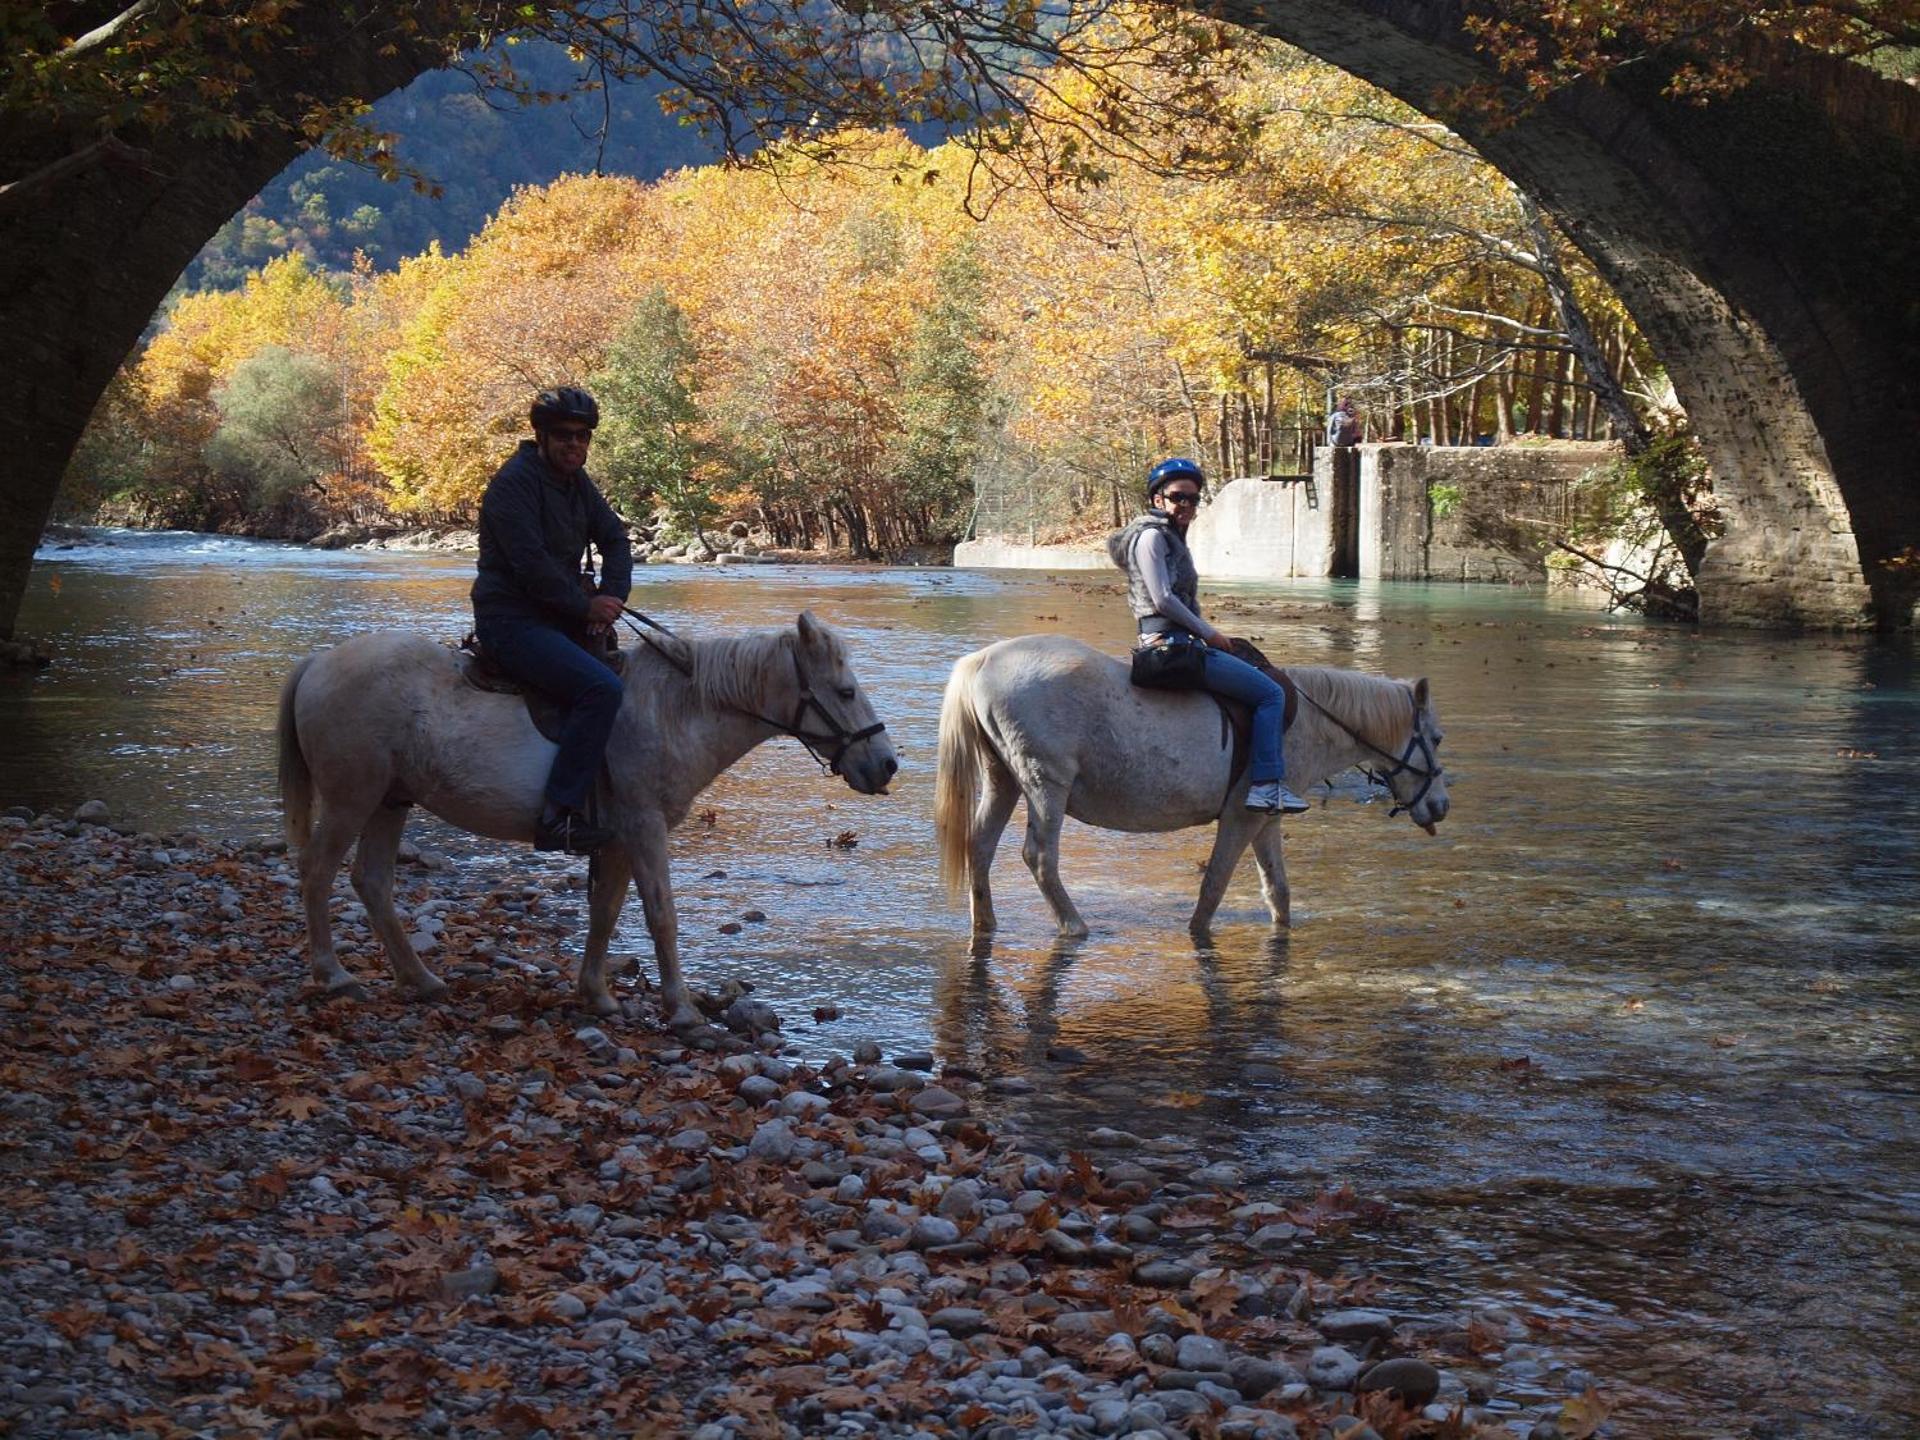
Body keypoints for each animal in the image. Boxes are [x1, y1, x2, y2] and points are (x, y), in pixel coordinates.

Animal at [276, 612, 897, 1029]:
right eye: (845, 691)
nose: (886, 764)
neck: (672, 710)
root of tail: (317, 663)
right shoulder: (645, 828)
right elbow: (661, 916)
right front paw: (682, 1009)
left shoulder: (618, 838)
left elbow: (606, 912)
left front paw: (596, 994)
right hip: (351, 799)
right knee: (317, 872)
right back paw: (334, 974)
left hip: (389, 801)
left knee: (372, 882)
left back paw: (421, 979)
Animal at [933, 635, 1447, 937]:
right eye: (1437, 738)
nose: (1441, 806)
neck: (1304, 720)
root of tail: (984, 660)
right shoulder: (1240, 818)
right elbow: (1214, 885)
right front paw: (1199, 933)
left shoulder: (1265, 821)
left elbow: (1278, 890)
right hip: (1045, 785)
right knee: (1039, 857)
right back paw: (1074, 925)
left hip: (1003, 779)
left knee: (979, 847)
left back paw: (986, 922)